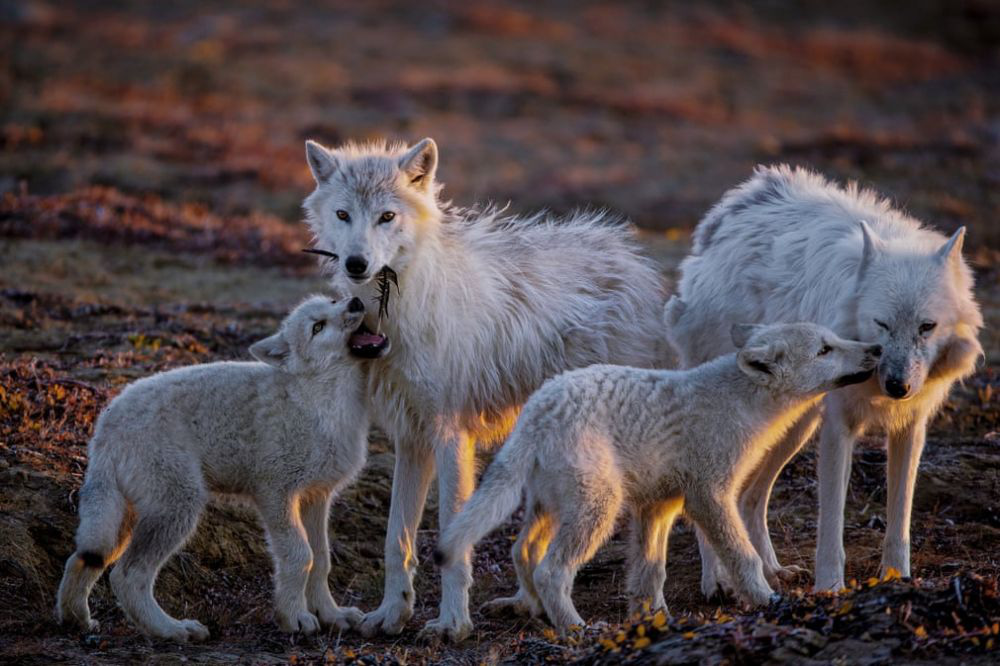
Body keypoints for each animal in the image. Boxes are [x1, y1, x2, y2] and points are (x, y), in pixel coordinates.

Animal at [56, 294, 386, 640]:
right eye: (317, 327)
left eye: (333, 301)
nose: (355, 301)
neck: (320, 400)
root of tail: (105, 424)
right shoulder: (275, 495)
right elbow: (300, 556)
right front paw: (294, 618)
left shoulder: (316, 497)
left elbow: (321, 560)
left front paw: (331, 615)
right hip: (179, 508)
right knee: (127, 576)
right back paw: (172, 630)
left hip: (123, 520)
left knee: (81, 560)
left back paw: (76, 621)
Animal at [300, 136, 668, 640]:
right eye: (343, 214)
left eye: (386, 216)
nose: (357, 264)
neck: (399, 309)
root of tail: (635, 262)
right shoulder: (411, 440)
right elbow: (397, 541)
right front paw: (392, 614)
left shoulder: (450, 436)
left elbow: (453, 540)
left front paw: (452, 623)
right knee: (529, 547)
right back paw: (527, 604)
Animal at [438, 322, 884, 628]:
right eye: (824, 349)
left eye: (833, 339)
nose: (877, 348)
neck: (741, 403)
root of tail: (536, 411)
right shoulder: (710, 495)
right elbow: (744, 556)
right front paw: (765, 599)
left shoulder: (659, 505)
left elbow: (650, 570)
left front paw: (652, 618)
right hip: (598, 509)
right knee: (551, 570)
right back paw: (576, 629)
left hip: (551, 507)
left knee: (522, 552)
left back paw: (536, 611)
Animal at [668, 166, 980, 592]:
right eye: (882, 324)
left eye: (926, 327)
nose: (897, 386)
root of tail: (734, 207)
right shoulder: (838, 428)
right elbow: (831, 522)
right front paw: (830, 588)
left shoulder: (911, 427)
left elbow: (899, 517)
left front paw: (897, 578)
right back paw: (716, 581)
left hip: (792, 428)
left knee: (750, 497)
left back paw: (773, 570)